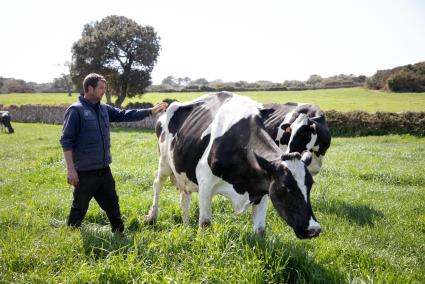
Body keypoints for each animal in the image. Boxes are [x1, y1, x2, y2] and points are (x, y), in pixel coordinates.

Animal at [144, 92, 320, 239]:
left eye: (311, 185)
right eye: (285, 188)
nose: (314, 229)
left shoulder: (263, 187)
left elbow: (260, 230)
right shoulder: (205, 182)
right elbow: (205, 223)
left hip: (182, 170)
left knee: (184, 196)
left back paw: (186, 225)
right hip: (164, 161)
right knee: (158, 183)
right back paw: (151, 217)